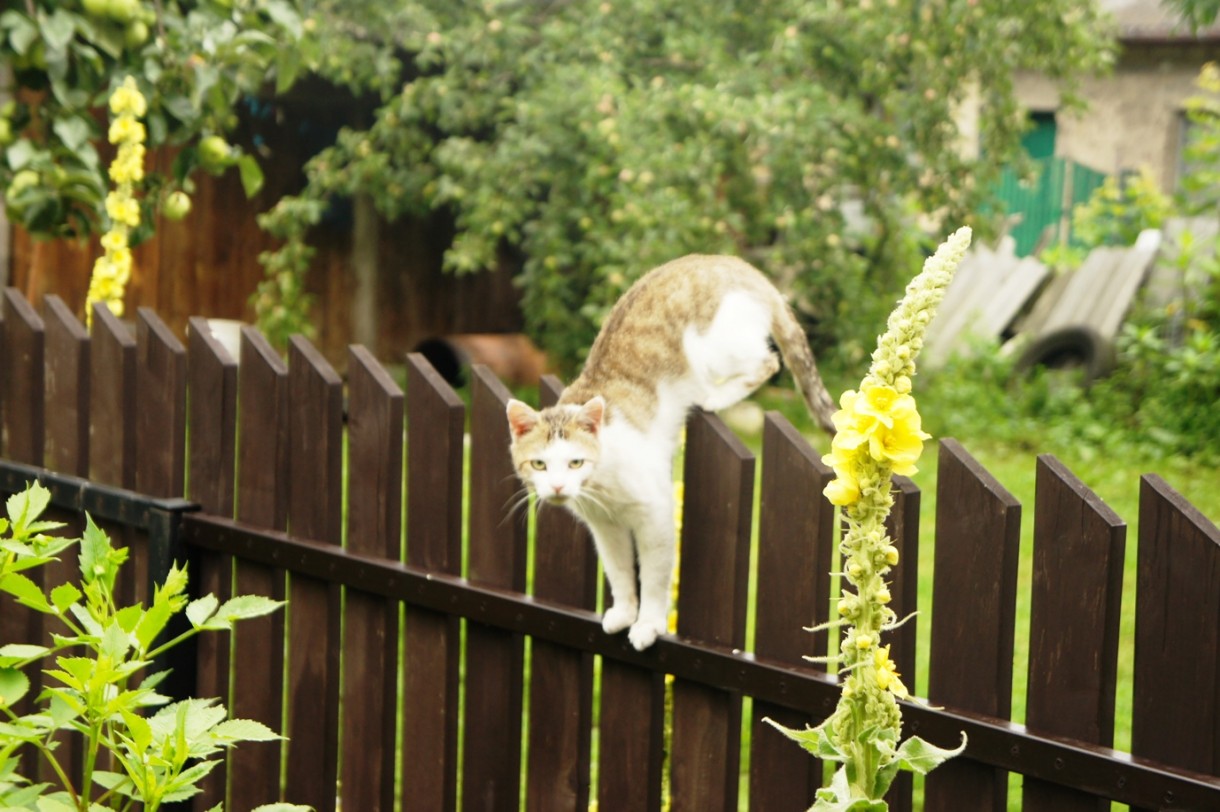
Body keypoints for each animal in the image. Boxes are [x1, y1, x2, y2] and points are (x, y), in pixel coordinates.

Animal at [505, 256, 839, 648]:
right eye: (539, 464)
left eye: (576, 462)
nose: (557, 488)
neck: (602, 486)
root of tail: (737, 265)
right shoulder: (605, 527)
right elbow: (619, 572)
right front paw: (624, 612)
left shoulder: (657, 516)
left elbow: (653, 576)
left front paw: (648, 623)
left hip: (715, 349)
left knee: (767, 362)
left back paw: (713, 397)